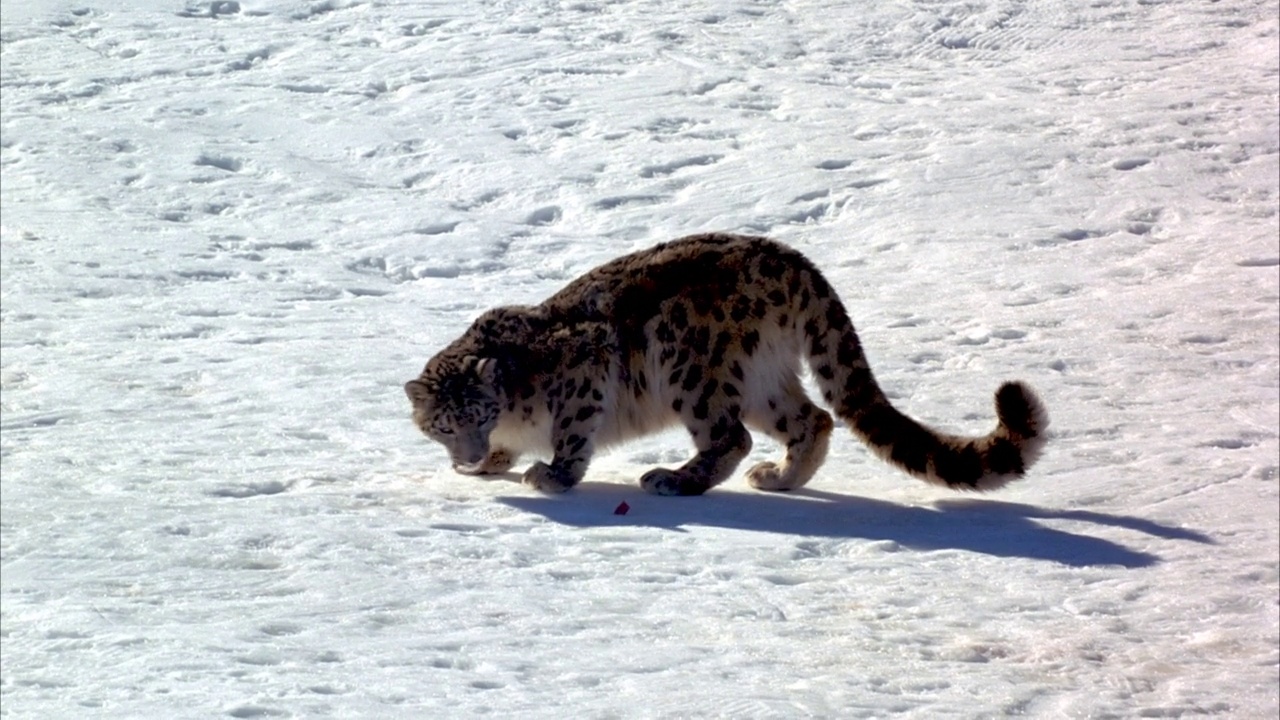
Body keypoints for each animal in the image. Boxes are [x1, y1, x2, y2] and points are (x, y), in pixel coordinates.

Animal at [404, 233, 1044, 497]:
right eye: (444, 425)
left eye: (479, 412)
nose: (469, 453)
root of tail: (793, 261)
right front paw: (491, 465)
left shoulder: (583, 374)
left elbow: (571, 435)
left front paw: (551, 476)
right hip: (761, 379)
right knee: (813, 420)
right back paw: (780, 478)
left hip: (691, 366)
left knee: (730, 436)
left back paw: (674, 479)